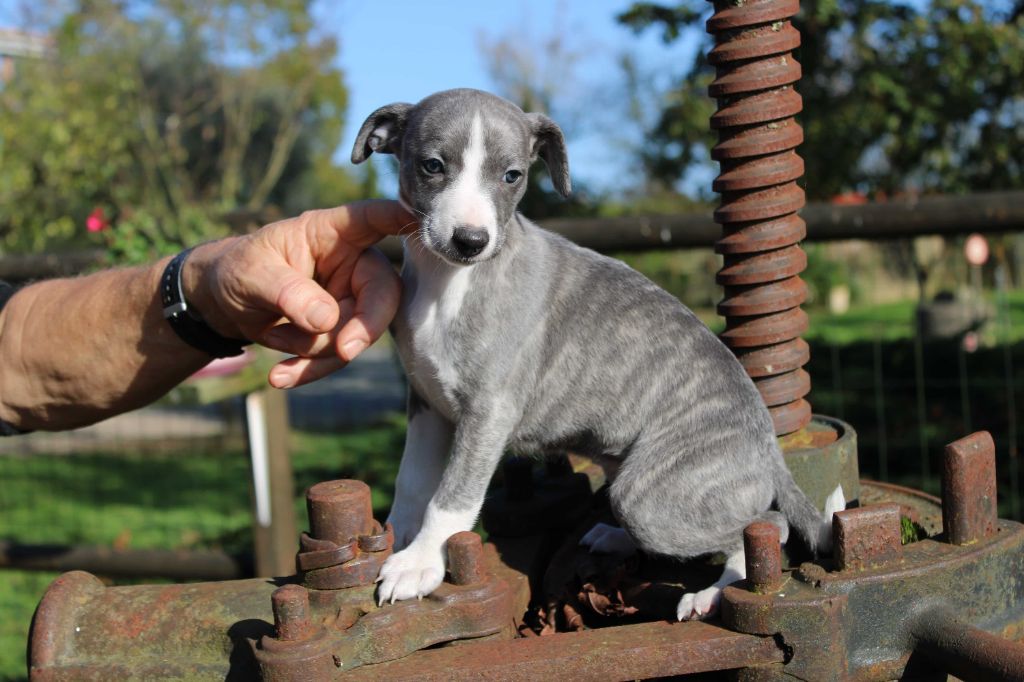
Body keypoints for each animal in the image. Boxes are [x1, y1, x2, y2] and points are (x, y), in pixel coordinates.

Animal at [352, 89, 839, 614]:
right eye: (433, 165)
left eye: (512, 175)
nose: (471, 240)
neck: (449, 281)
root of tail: (769, 448)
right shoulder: (426, 403)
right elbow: (412, 480)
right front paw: (397, 537)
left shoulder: (488, 412)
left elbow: (451, 496)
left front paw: (420, 564)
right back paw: (617, 538)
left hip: (650, 499)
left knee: (766, 526)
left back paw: (711, 592)